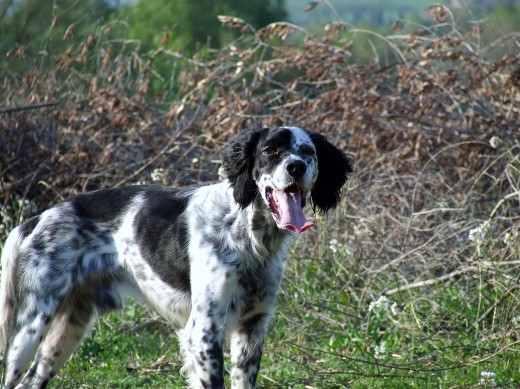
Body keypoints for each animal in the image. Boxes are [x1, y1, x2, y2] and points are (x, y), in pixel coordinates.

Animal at [0, 122, 352, 388]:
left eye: (308, 152)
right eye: (270, 151)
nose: (296, 167)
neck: (248, 237)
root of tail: (37, 219)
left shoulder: (252, 329)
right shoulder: (204, 330)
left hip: (66, 331)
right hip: (31, 327)